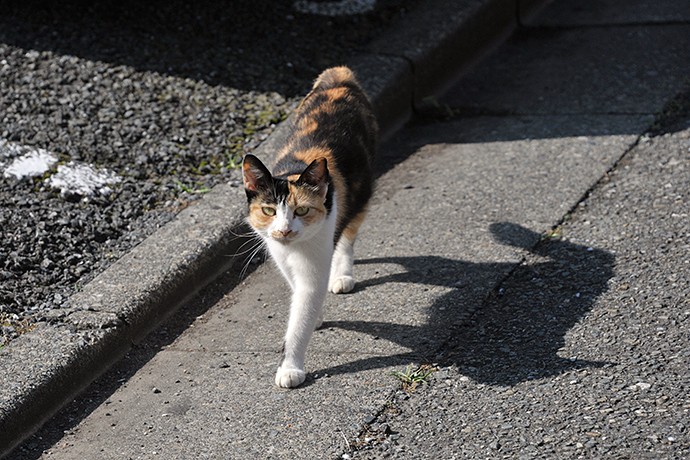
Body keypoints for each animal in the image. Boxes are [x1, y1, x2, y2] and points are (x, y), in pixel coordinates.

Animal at [242, 65, 378, 388]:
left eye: (302, 210)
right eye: (268, 210)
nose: (284, 230)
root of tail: (339, 75)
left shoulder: (315, 257)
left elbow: (301, 314)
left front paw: (290, 367)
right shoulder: (277, 252)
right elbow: (296, 289)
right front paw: (315, 316)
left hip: (362, 192)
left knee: (348, 236)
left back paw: (342, 274)